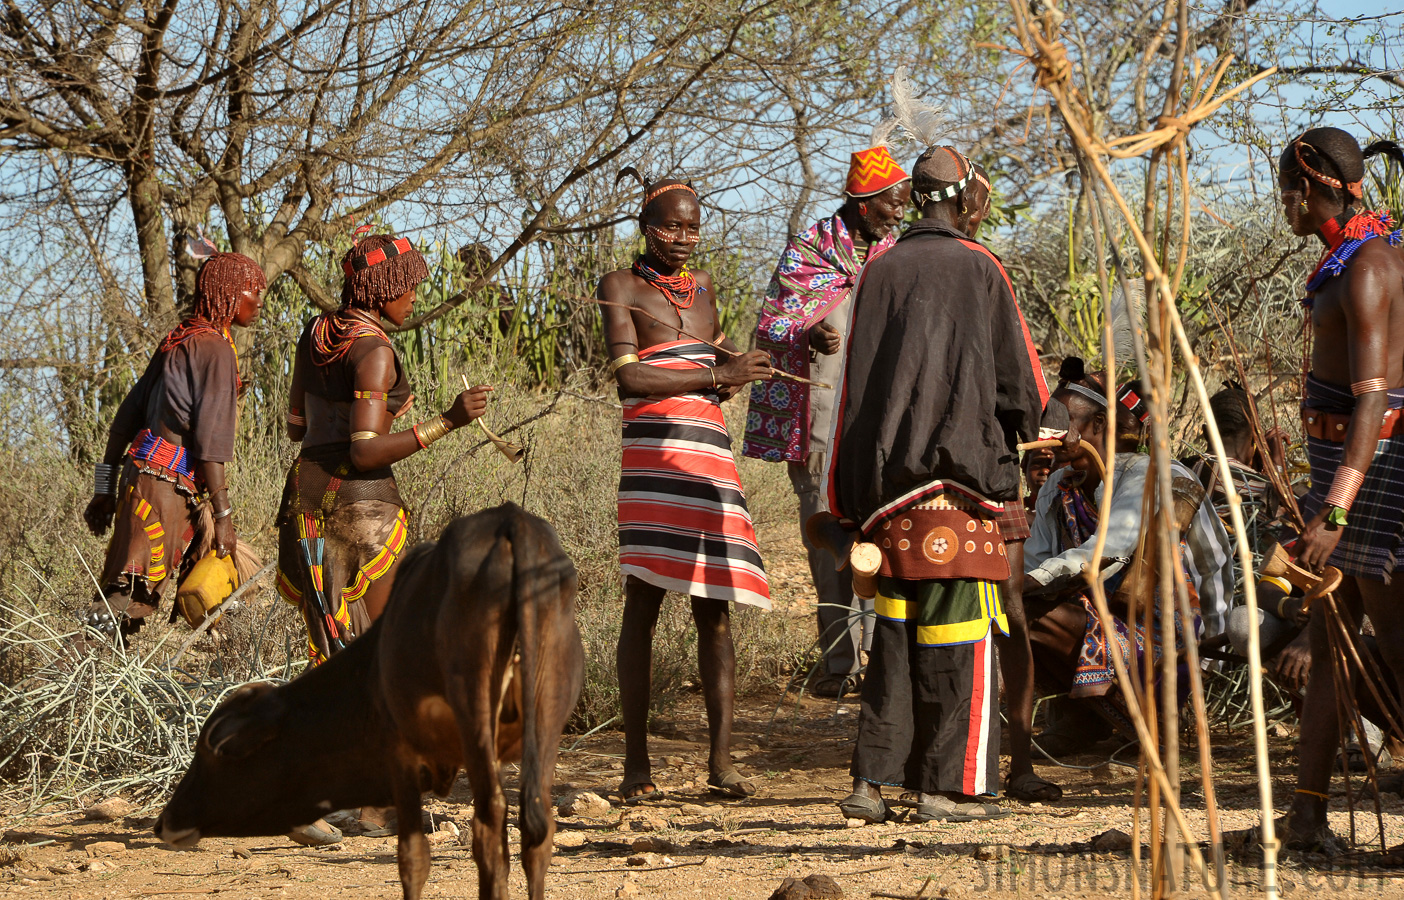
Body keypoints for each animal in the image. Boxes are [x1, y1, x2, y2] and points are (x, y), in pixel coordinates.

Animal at [156, 502, 584, 892]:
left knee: (491, 825)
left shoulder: (401, 755)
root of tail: (511, 523)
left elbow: (412, 858)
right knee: (536, 829)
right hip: (546, 714)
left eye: (221, 751)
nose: (166, 822)